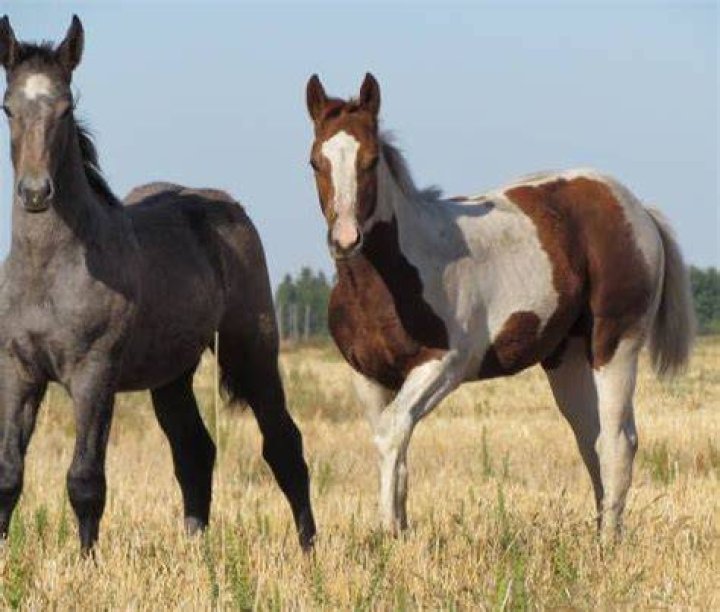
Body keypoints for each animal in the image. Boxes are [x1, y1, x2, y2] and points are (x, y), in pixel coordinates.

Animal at [0, 16, 315, 553]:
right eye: (7, 107)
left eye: (66, 108)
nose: (36, 192)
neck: (50, 272)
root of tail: (228, 206)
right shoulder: (18, 372)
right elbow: (8, 475)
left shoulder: (95, 374)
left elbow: (85, 480)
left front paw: (87, 562)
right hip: (171, 374)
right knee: (194, 450)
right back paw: (196, 548)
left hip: (252, 350)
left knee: (283, 444)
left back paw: (309, 547)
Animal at [305, 72, 694, 538]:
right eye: (315, 162)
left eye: (371, 159)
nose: (346, 239)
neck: (391, 277)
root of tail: (636, 208)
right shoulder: (368, 376)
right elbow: (393, 445)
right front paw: (398, 532)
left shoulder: (446, 364)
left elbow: (393, 431)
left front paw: (390, 536)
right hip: (567, 358)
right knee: (591, 438)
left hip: (615, 346)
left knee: (618, 441)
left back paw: (607, 543)